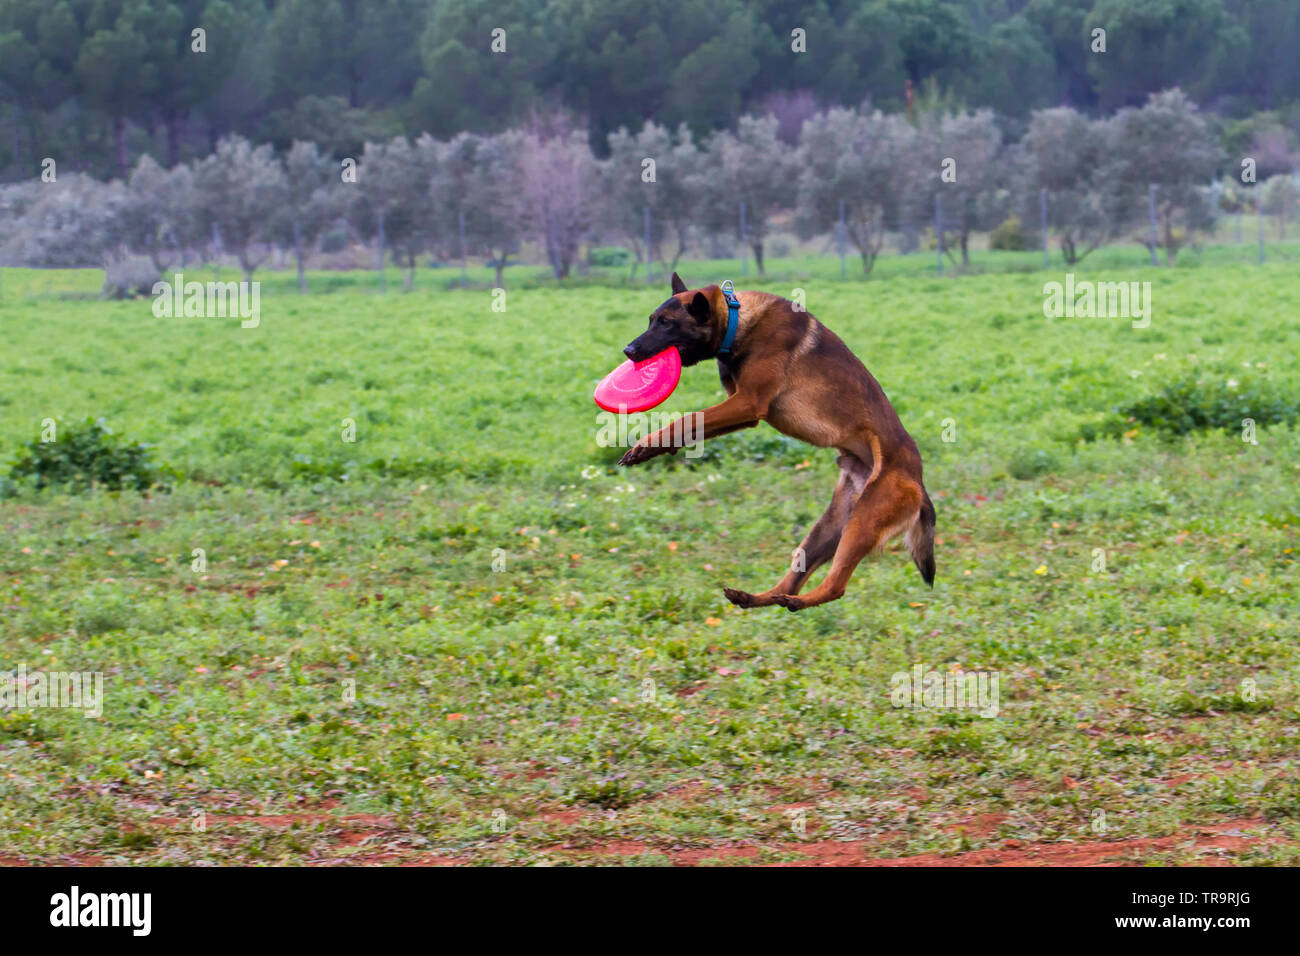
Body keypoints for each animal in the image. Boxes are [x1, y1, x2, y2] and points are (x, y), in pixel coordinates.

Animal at [618, 270, 935, 613]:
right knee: (795, 576)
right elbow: (694, 424)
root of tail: (919, 483)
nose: (628, 350)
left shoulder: (747, 403)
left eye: (666, 323)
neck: (737, 320)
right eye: (651, 320)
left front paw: (644, 445)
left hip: (862, 522)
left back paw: (794, 601)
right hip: (833, 524)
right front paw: (655, 448)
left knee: (836, 585)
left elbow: (687, 419)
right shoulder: (740, 407)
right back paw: (757, 598)